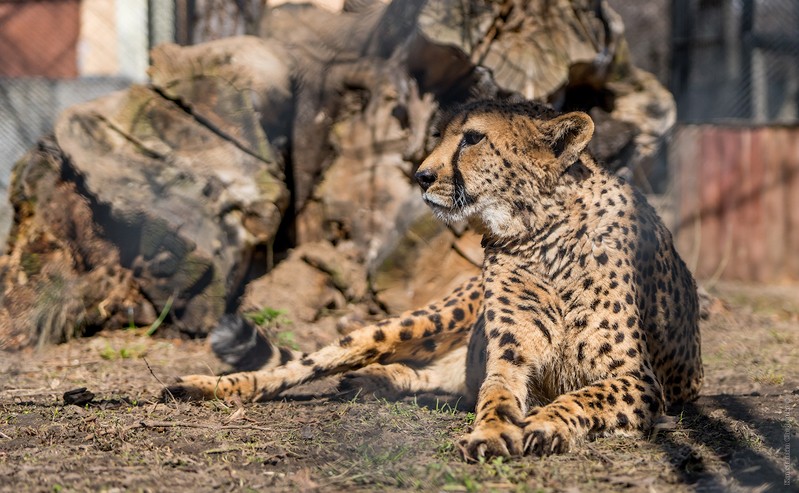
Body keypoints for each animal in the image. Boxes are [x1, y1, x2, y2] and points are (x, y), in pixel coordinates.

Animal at [166, 98, 704, 460]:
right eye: (444, 135)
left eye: (472, 138)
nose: (422, 176)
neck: (536, 232)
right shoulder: (509, 358)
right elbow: (496, 396)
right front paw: (492, 432)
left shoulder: (638, 379)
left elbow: (582, 395)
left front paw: (545, 425)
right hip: (425, 319)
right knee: (315, 360)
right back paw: (209, 386)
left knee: (442, 380)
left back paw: (383, 380)